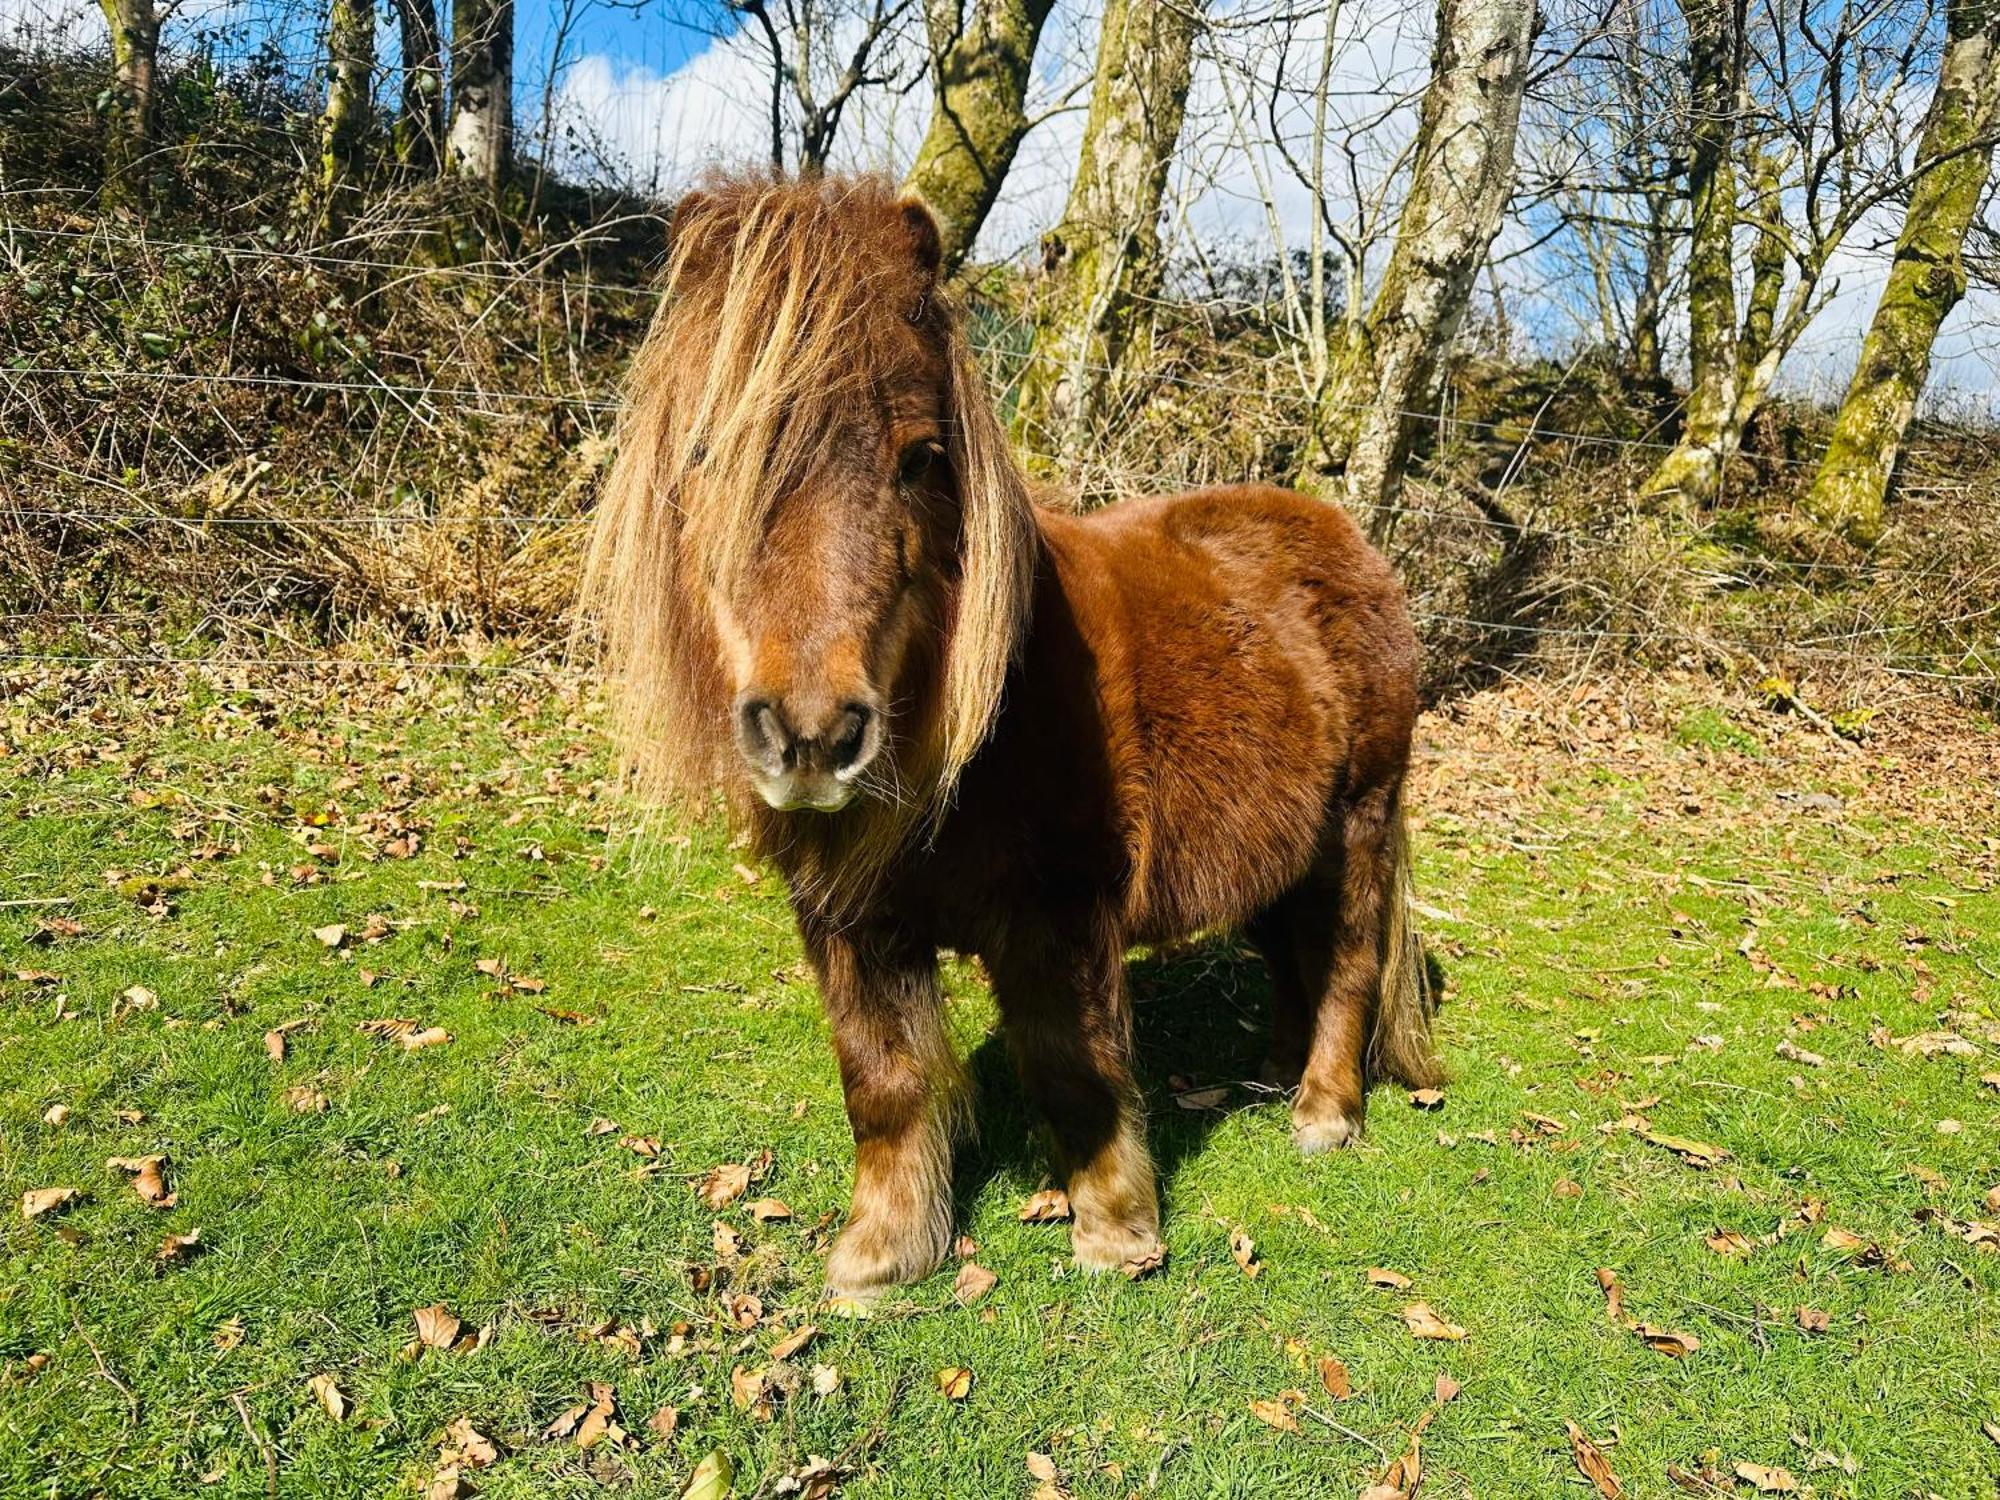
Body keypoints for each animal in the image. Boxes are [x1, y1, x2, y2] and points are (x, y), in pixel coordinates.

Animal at [584, 170, 1440, 1296]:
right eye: (704, 453)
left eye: (921, 457)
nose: (812, 737)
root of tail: (1349, 544)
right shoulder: (846, 925)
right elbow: (883, 1080)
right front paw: (881, 1257)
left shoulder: (1060, 919)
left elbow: (1073, 1069)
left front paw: (1115, 1234)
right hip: (1279, 849)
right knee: (1287, 953)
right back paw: (1270, 1070)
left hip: (1357, 827)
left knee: (1343, 963)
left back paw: (1322, 1113)